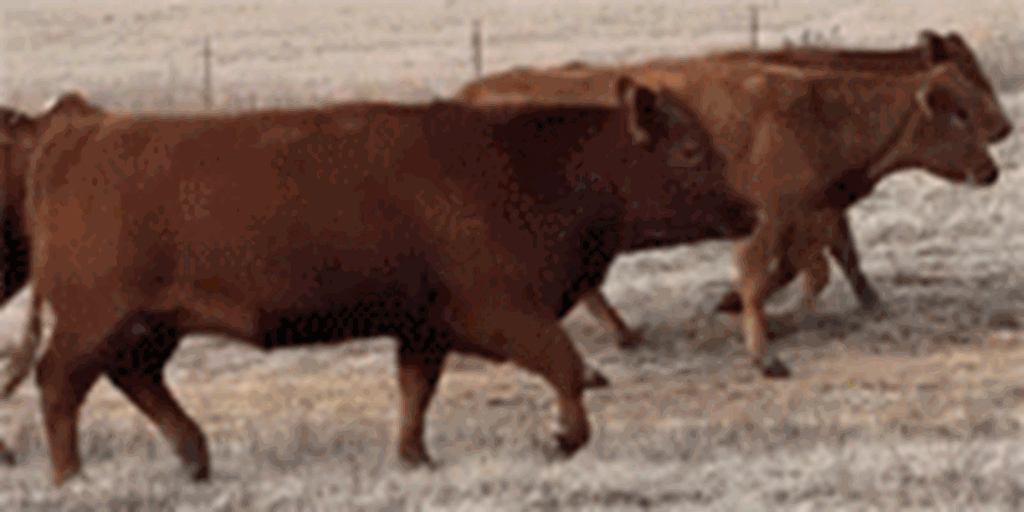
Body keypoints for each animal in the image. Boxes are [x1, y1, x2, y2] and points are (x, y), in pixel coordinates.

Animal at [1, 76, 761, 486]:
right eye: (690, 151)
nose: (749, 210)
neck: (528, 166)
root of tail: (82, 131)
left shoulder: (425, 326)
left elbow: (415, 392)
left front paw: (415, 459)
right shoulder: (504, 313)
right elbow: (567, 367)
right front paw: (562, 439)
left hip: (149, 327)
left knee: (137, 379)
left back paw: (194, 457)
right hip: (98, 320)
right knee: (60, 382)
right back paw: (73, 476)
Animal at [455, 29, 1013, 346]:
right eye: (965, 97)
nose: (1005, 129)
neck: (818, 99)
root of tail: (470, 93)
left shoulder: (813, 207)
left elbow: (829, 259)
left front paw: (867, 300)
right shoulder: (794, 211)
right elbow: (811, 266)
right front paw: (754, 311)